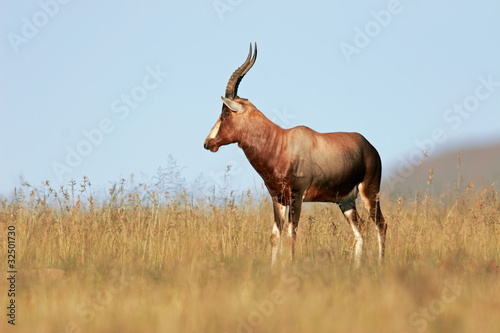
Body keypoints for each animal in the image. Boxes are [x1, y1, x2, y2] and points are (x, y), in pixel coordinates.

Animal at [203, 43, 386, 268]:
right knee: (361, 229)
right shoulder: (278, 199)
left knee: (381, 224)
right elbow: (275, 235)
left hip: (370, 192)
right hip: (346, 201)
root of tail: (369, 146)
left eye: (225, 113)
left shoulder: (296, 196)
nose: (208, 142)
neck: (281, 143)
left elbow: (292, 234)